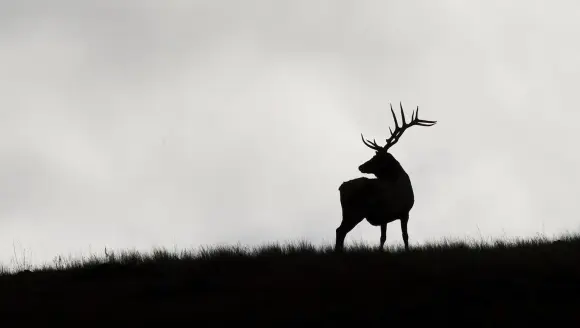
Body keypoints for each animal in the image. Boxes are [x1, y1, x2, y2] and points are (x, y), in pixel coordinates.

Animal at [336, 102, 436, 251]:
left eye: (377, 158)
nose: (361, 166)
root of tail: (341, 187)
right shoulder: (405, 211)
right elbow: (405, 236)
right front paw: (407, 250)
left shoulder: (385, 216)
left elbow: (383, 237)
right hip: (354, 211)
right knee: (340, 231)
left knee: (340, 231)